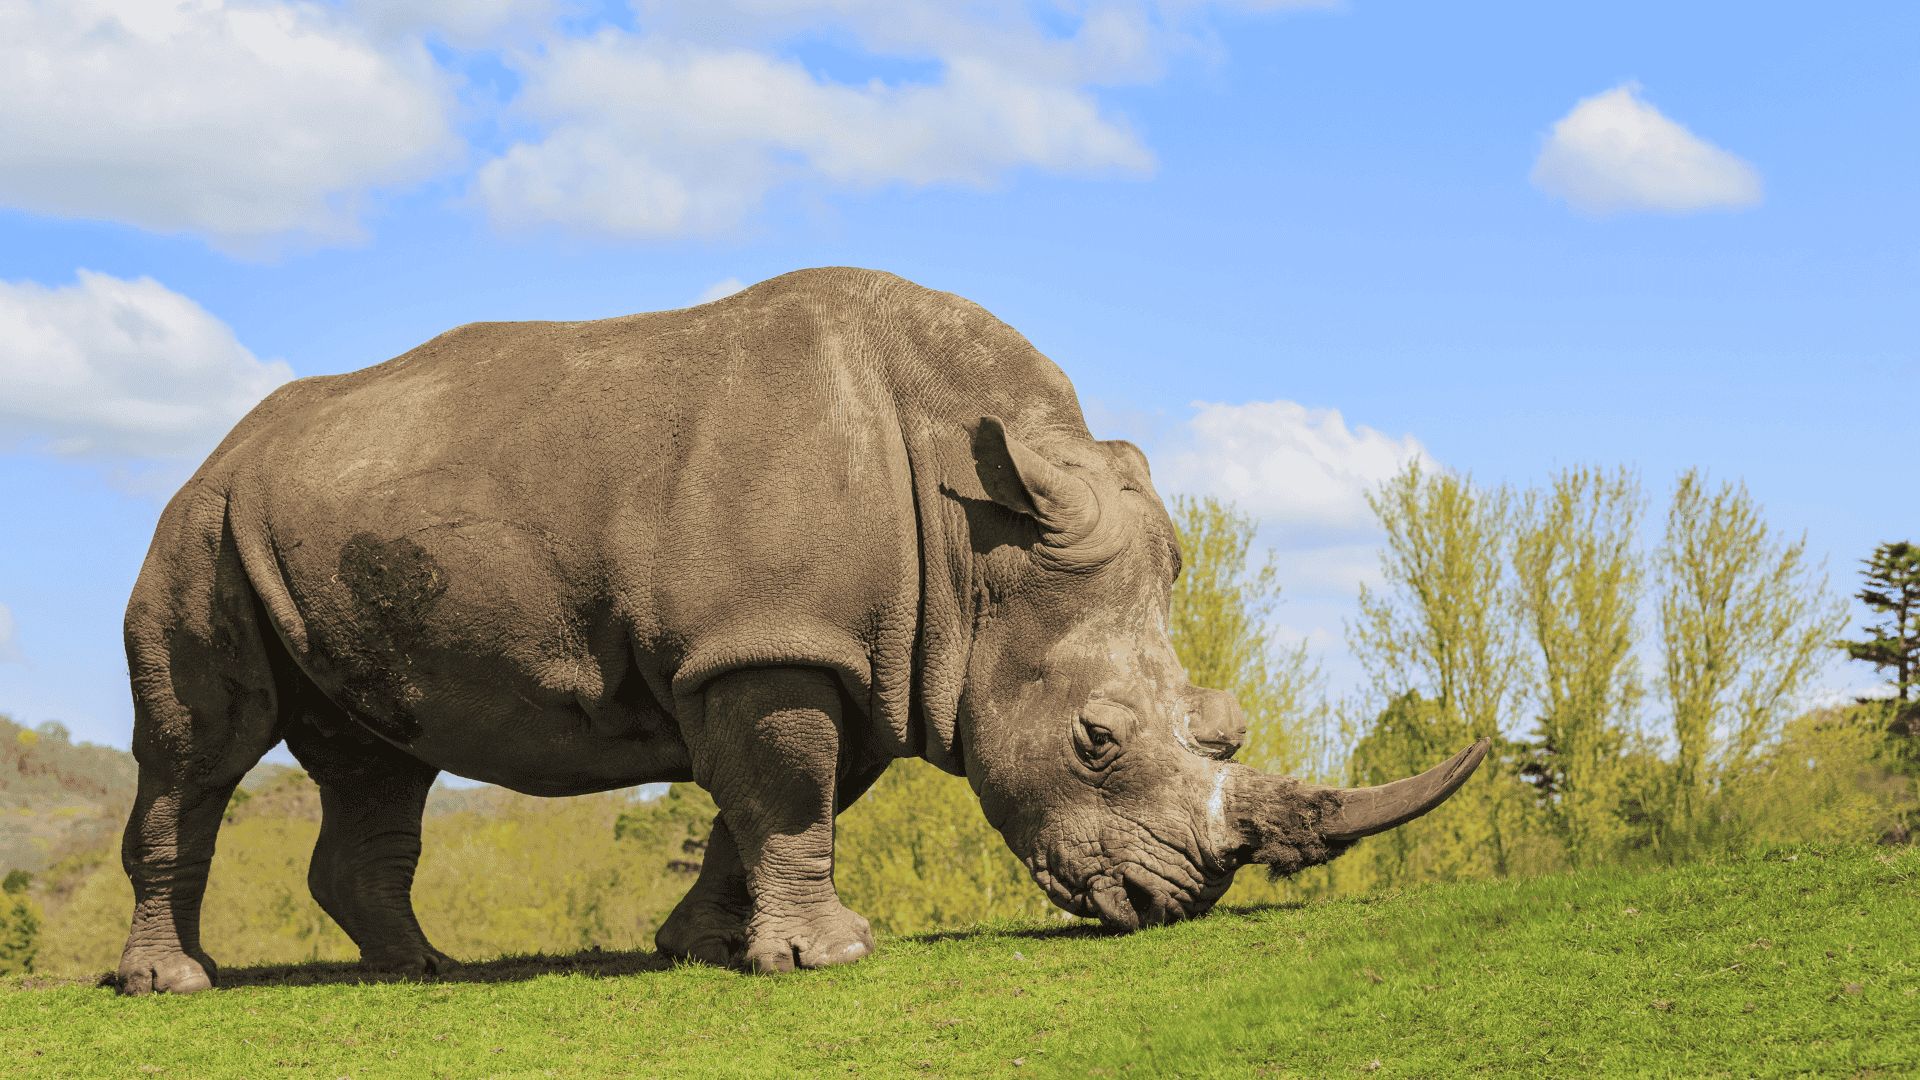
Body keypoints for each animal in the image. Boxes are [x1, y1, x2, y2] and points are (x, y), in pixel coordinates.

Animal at [116, 266, 1486, 993]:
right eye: (1095, 740)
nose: (1183, 898)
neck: (978, 535)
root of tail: (223, 444)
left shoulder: (853, 651)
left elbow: (774, 802)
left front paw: (706, 950)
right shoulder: (773, 641)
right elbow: (788, 793)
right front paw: (829, 961)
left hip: (303, 518)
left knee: (380, 761)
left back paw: (423, 974)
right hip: (200, 524)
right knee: (201, 752)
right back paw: (173, 986)